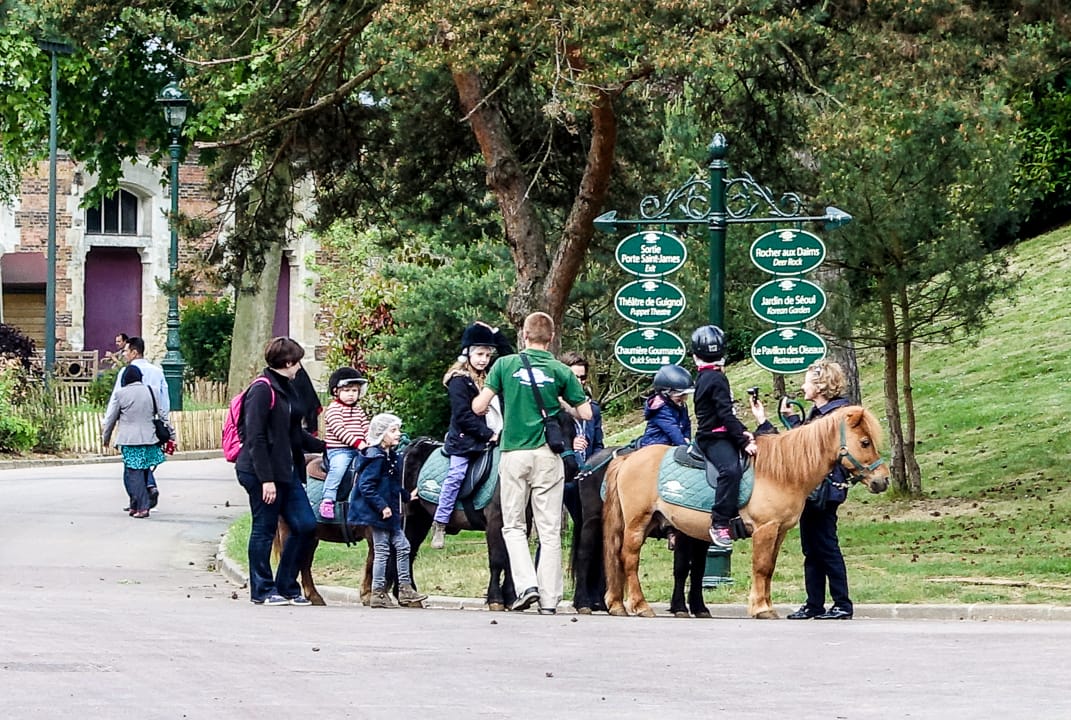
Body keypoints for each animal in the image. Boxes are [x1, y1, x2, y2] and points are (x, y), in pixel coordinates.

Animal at [601, 406, 890, 619]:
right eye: (865, 442)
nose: (883, 480)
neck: (782, 472)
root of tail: (627, 459)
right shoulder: (765, 529)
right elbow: (760, 567)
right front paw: (760, 608)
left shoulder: (779, 531)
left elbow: (769, 568)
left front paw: (766, 605)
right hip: (637, 523)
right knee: (629, 560)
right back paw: (640, 605)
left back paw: (618, 604)